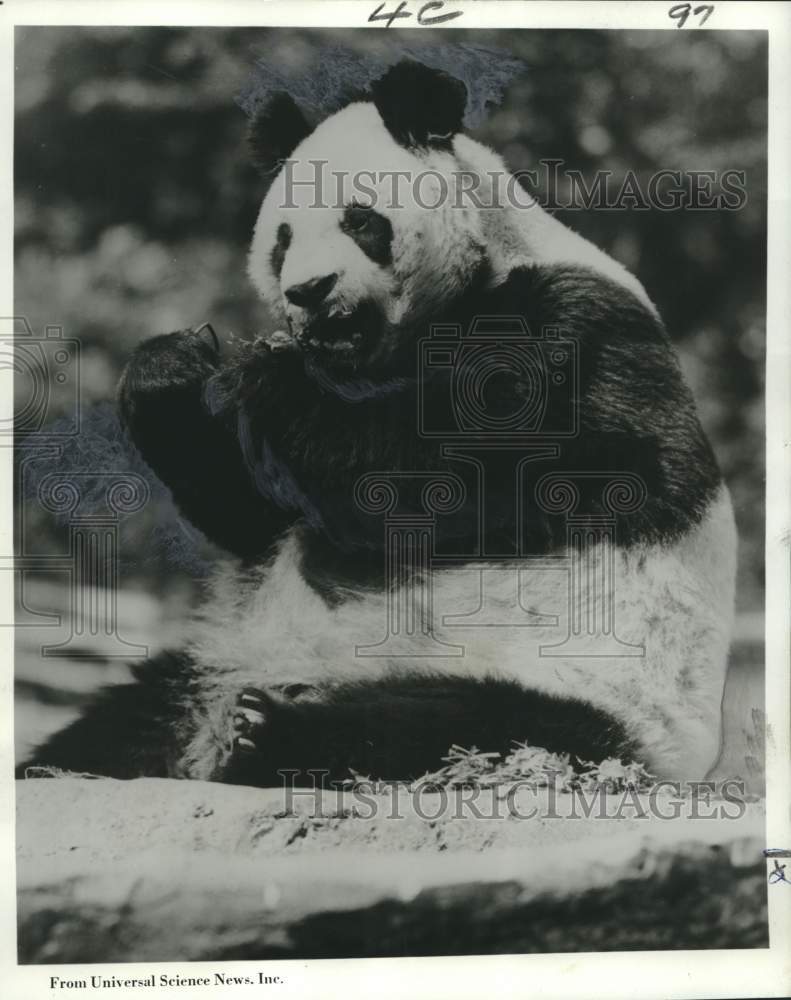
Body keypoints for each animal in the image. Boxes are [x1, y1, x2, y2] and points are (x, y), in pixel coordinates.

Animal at [21, 60, 740, 788]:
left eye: (360, 220)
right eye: (283, 239)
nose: (309, 292)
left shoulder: (573, 335)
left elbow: (445, 478)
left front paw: (267, 371)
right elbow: (254, 518)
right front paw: (171, 368)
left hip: (576, 689)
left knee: (430, 725)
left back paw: (266, 731)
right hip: (215, 661)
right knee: (127, 721)